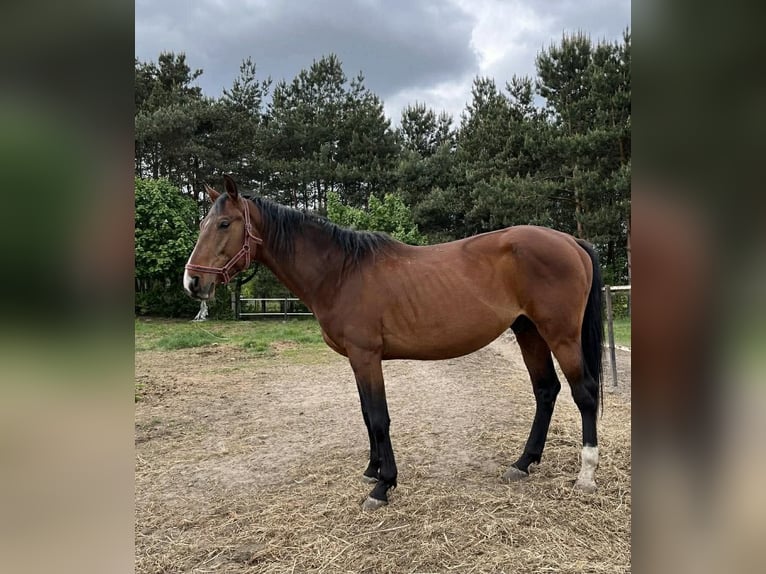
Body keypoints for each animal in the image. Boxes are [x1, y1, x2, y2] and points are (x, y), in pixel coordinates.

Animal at [184, 175, 604, 510]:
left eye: (224, 223)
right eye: (202, 222)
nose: (192, 282)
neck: (340, 273)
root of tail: (570, 240)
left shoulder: (366, 356)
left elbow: (379, 417)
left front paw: (383, 486)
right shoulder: (356, 360)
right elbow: (366, 416)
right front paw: (373, 470)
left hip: (560, 335)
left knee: (584, 393)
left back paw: (585, 475)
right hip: (528, 331)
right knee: (546, 390)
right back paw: (522, 463)